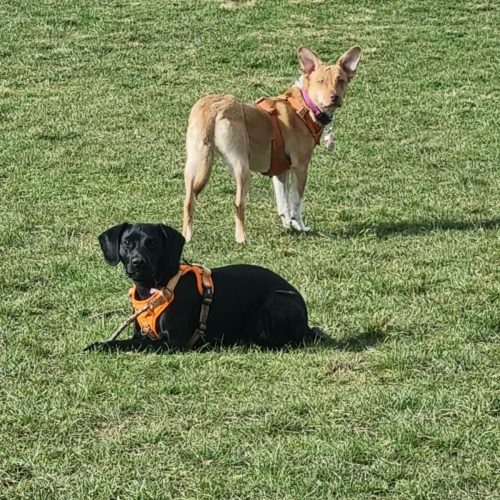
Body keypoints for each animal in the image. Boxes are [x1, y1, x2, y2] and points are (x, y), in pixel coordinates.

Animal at [86, 223, 328, 352]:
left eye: (152, 243)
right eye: (127, 242)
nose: (138, 262)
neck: (155, 288)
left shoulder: (171, 343)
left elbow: (127, 344)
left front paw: (100, 346)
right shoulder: (143, 334)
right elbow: (131, 340)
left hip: (278, 301)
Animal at [182, 44, 362, 242]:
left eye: (341, 80)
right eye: (321, 81)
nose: (334, 97)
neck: (305, 107)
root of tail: (213, 108)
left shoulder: (280, 171)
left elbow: (283, 203)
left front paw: (288, 225)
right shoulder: (300, 167)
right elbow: (296, 202)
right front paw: (300, 226)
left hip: (194, 161)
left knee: (189, 199)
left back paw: (187, 236)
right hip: (241, 167)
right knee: (238, 203)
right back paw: (242, 238)